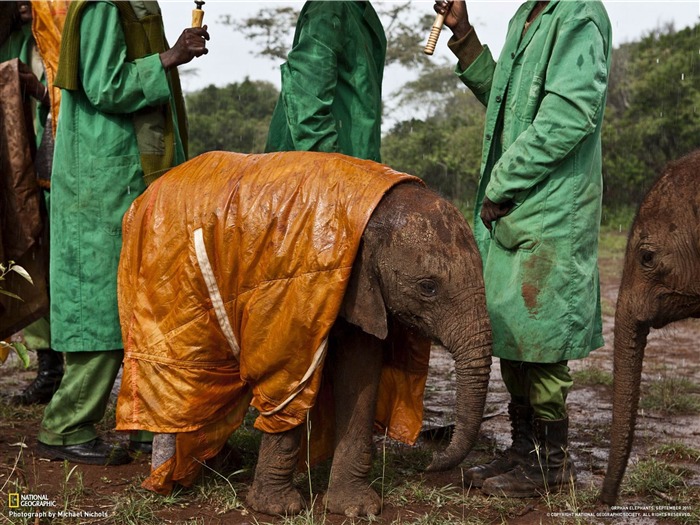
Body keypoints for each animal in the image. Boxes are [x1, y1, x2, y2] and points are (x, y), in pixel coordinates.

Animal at [116, 150, 492, 516]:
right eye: (428, 287)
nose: (430, 463)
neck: (368, 215)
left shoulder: (362, 290)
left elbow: (361, 373)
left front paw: (355, 509)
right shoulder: (293, 289)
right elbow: (288, 377)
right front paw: (277, 509)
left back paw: (215, 464)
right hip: (162, 280)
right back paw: (173, 477)